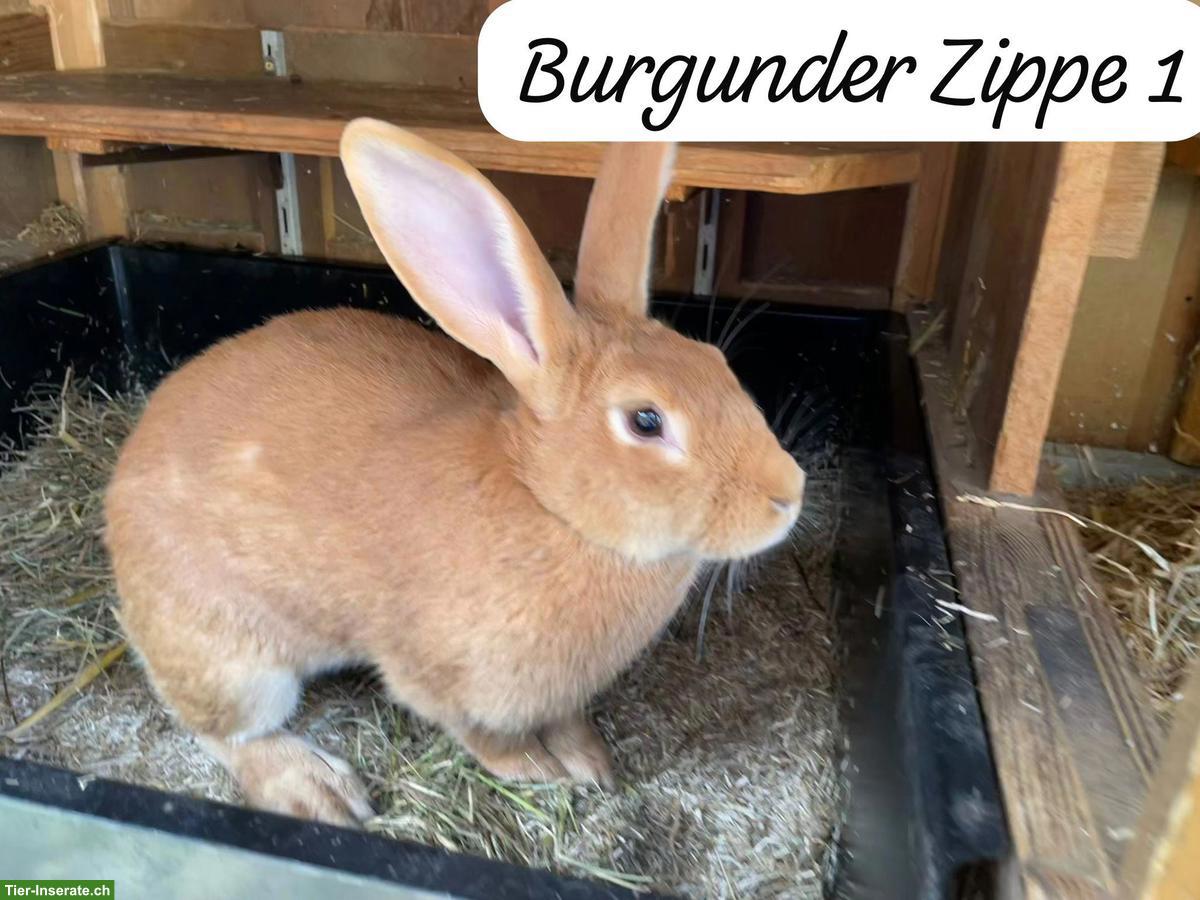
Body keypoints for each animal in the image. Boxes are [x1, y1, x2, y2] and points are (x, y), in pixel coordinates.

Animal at [103, 119, 806, 827]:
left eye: (717, 363)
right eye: (645, 421)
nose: (789, 492)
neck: (550, 504)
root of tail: (119, 489)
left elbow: (566, 721)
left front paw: (589, 761)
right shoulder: (438, 678)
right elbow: (485, 737)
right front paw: (539, 771)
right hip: (235, 662)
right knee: (225, 732)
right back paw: (317, 789)